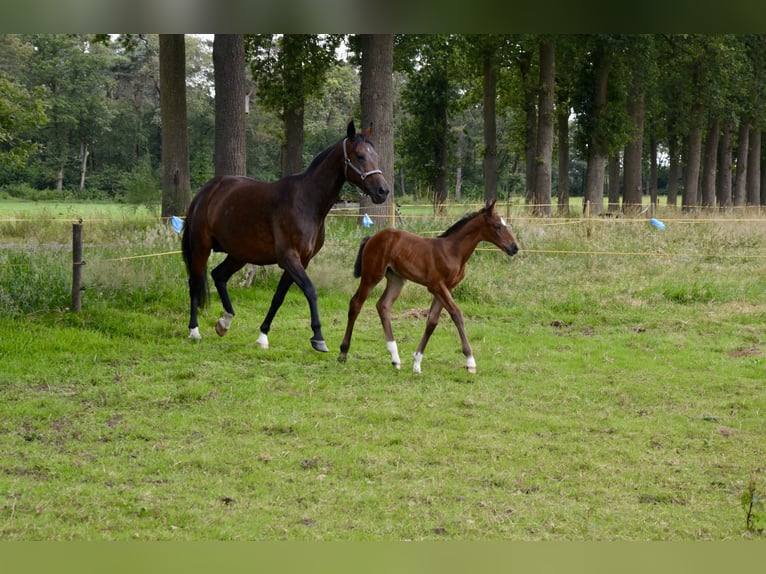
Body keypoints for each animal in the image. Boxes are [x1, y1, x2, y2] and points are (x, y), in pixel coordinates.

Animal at [184, 121, 390, 352]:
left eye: (375, 156)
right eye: (360, 156)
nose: (383, 191)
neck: (306, 201)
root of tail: (205, 192)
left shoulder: (302, 260)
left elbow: (279, 297)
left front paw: (263, 336)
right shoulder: (289, 258)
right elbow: (310, 290)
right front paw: (318, 337)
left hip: (239, 255)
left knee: (218, 276)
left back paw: (224, 322)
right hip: (201, 248)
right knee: (194, 283)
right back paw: (194, 330)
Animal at [340, 200, 520, 376]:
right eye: (497, 226)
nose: (514, 247)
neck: (453, 251)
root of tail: (372, 237)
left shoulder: (446, 288)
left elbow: (432, 321)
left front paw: (417, 363)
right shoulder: (436, 286)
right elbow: (457, 314)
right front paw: (470, 361)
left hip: (397, 279)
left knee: (383, 305)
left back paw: (395, 358)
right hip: (372, 275)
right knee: (356, 303)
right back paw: (343, 352)